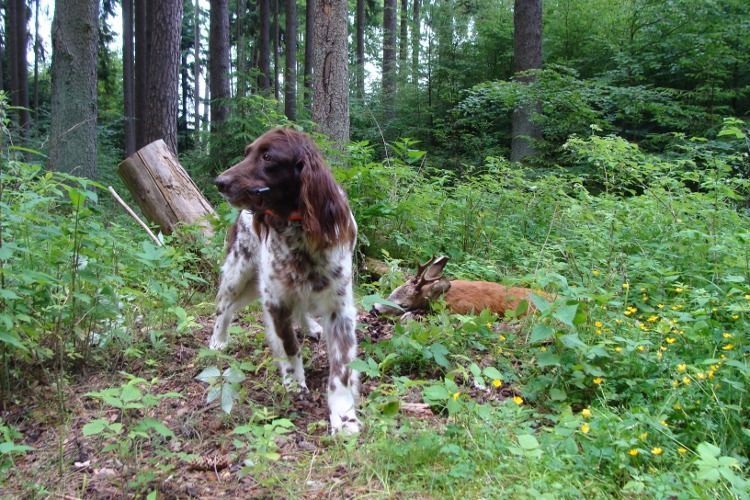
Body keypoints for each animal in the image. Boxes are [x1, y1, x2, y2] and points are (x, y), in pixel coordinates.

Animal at [212, 128, 362, 434]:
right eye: (247, 152)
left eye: (268, 157)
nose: (220, 182)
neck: (300, 226)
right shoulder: (276, 300)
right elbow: (290, 346)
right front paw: (294, 381)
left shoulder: (339, 307)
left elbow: (340, 369)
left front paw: (343, 416)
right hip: (239, 272)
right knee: (223, 307)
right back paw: (218, 340)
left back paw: (311, 326)